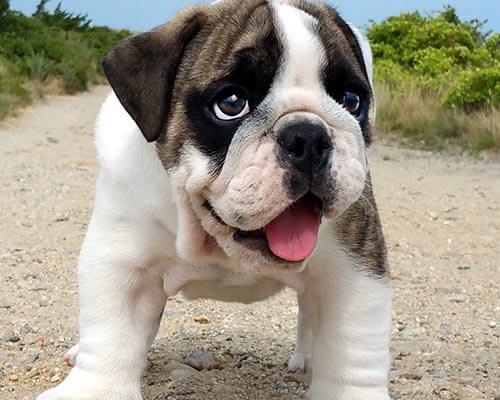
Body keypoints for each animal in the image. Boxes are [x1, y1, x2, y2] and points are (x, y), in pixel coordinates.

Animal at [37, 1, 391, 399]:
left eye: (351, 101)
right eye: (231, 104)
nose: (309, 136)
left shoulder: (354, 267)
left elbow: (352, 347)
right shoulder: (124, 261)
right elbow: (111, 329)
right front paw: (96, 390)